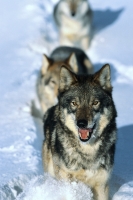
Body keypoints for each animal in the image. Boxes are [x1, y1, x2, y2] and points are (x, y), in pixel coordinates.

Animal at [42, 64, 117, 200]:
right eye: (74, 103)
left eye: (95, 103)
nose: (81, 123)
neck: (87, 151)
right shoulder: (66, 181)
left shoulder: (101, 185)